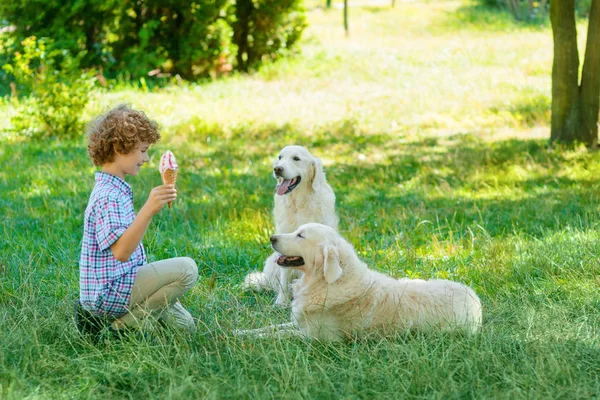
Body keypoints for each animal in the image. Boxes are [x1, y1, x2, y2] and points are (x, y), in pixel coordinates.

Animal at [238, 222, 482, 340]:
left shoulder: (313, 337)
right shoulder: (299, 323)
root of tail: (476, 300)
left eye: (301, 235)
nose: (271, 237)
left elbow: (277, 335)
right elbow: (270, 327)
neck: (326, 282)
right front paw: (240, 332)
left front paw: (247, 340)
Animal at [244, 147, 338, 306]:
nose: (277, 169)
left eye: (296, 158)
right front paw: (281, 302)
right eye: (280, 157)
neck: (299, 203)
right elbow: (285, 274)